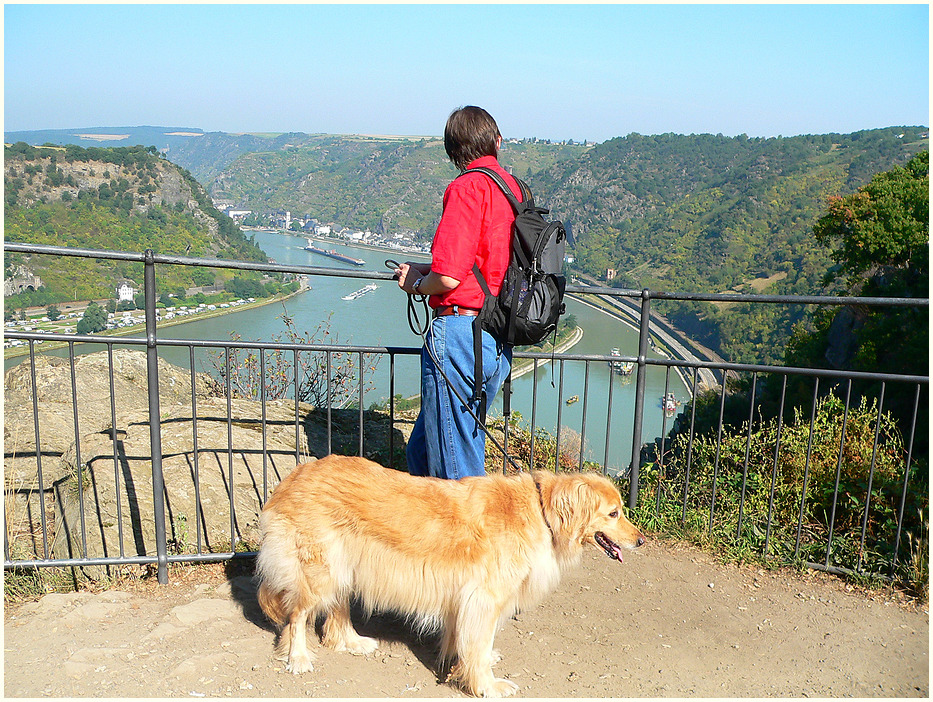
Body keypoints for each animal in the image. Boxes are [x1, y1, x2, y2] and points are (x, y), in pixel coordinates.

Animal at [258, 456, 644, 700]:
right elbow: (478, 645)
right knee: (297, 615)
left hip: (345, 566)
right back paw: (298, 658)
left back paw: (351, 642)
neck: (541, 510)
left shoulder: (467, 599)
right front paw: (487, 685)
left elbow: (467, 641)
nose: (641, 541)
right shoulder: (484, 599)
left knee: (335, 610)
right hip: (319, 569)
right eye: (614, 513)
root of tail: (294, 475)